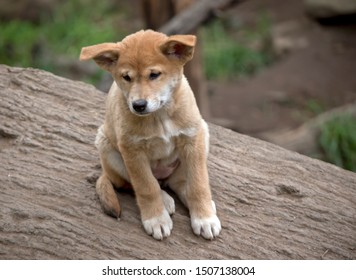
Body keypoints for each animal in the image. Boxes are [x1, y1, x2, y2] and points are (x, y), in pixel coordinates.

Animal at [79, 30, 221, 241]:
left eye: (154, 75)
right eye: (126, 77)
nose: (138, 105)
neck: (159, 116)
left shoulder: (192, 139)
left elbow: (199, 183)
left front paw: (204, 218)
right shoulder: (132, 150)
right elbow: (146, 186)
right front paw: (156, 219)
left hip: (203, 133)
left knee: (179, 182)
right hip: (107, 147)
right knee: (138, 184)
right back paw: (165, 201)